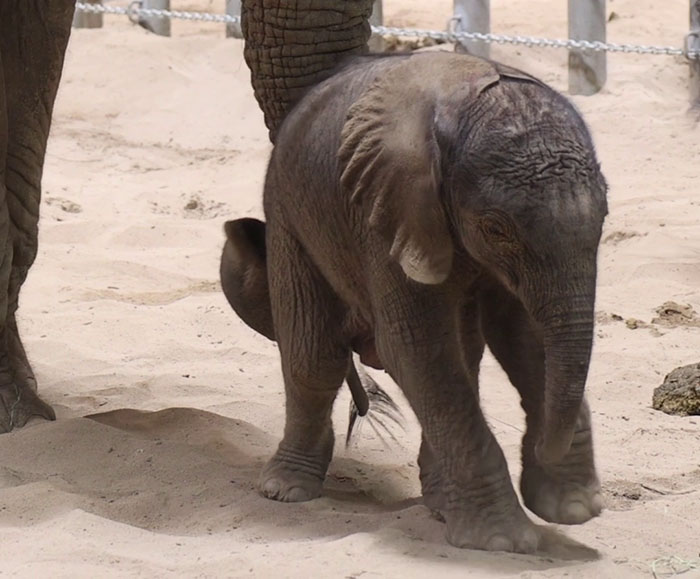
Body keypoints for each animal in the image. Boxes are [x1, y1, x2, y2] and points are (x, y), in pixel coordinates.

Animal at [237, 0, 608, 552]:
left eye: (605, 216)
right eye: (496, 228)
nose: (542, 446)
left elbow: (522, 334)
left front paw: (570, 510)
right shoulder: (385, 214)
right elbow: (414, 347)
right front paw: (503, 541)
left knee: (465, 354)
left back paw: (438, 505)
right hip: (290, 209)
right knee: (314, 356)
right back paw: (286, 490)